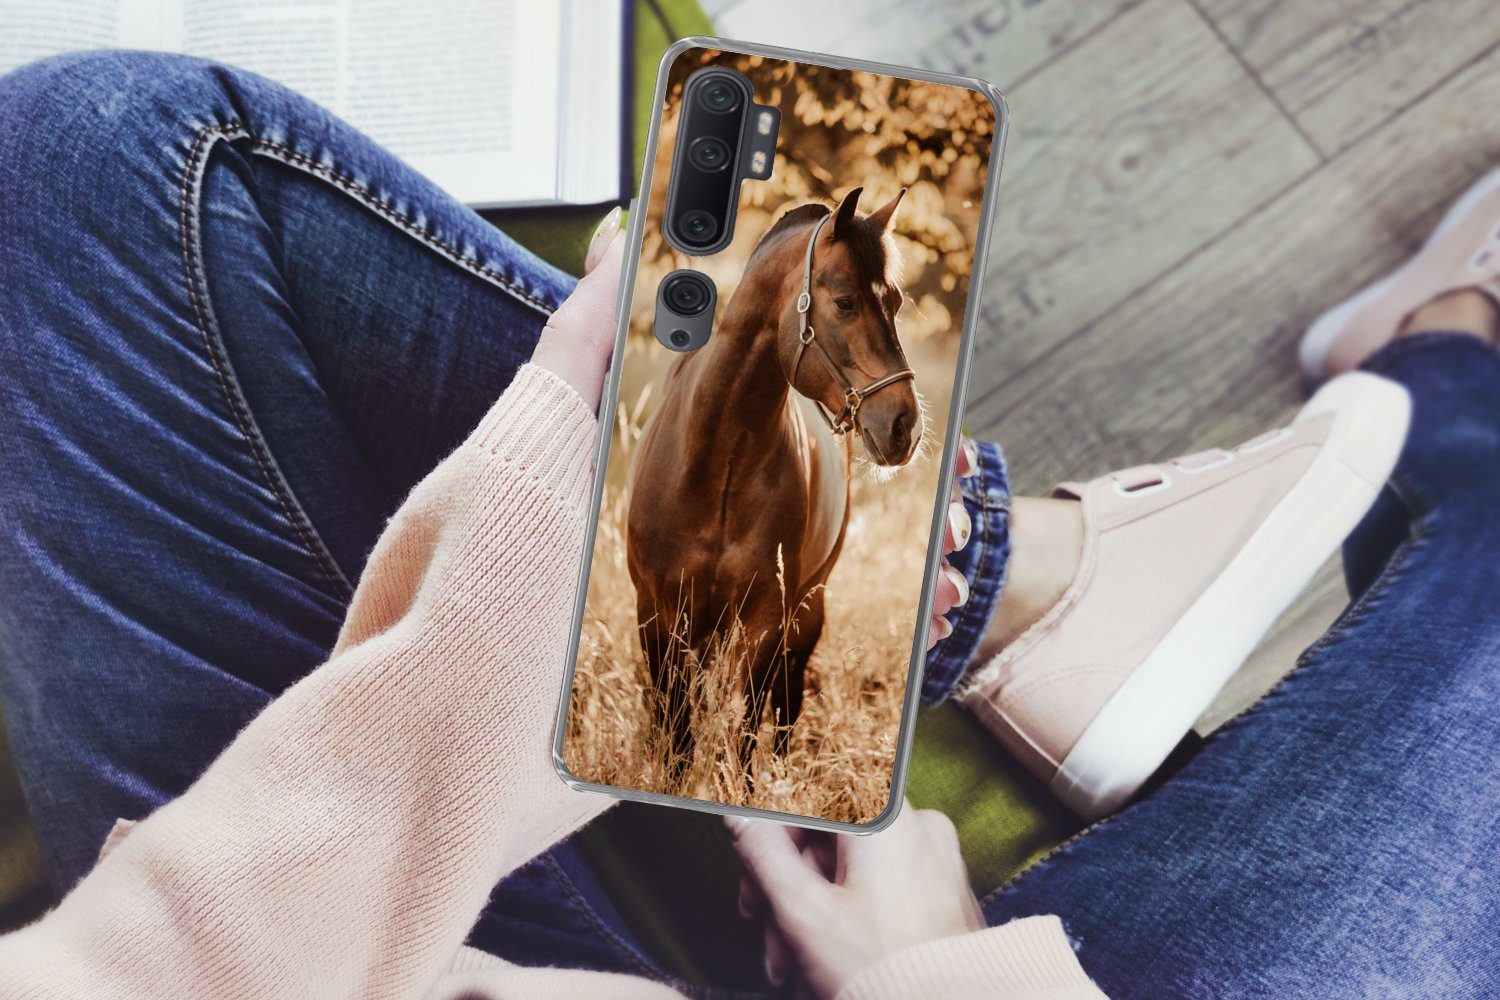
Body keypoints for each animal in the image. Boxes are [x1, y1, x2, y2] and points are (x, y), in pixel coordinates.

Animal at [626, 186, 921, 778]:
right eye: (846, 302)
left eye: (897, 302)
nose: (905, 425)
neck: (716, 463)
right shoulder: (658, 615)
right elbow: (678, 735)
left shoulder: (764, 623)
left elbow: (742, 738)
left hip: (805, 613)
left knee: (784, 712)